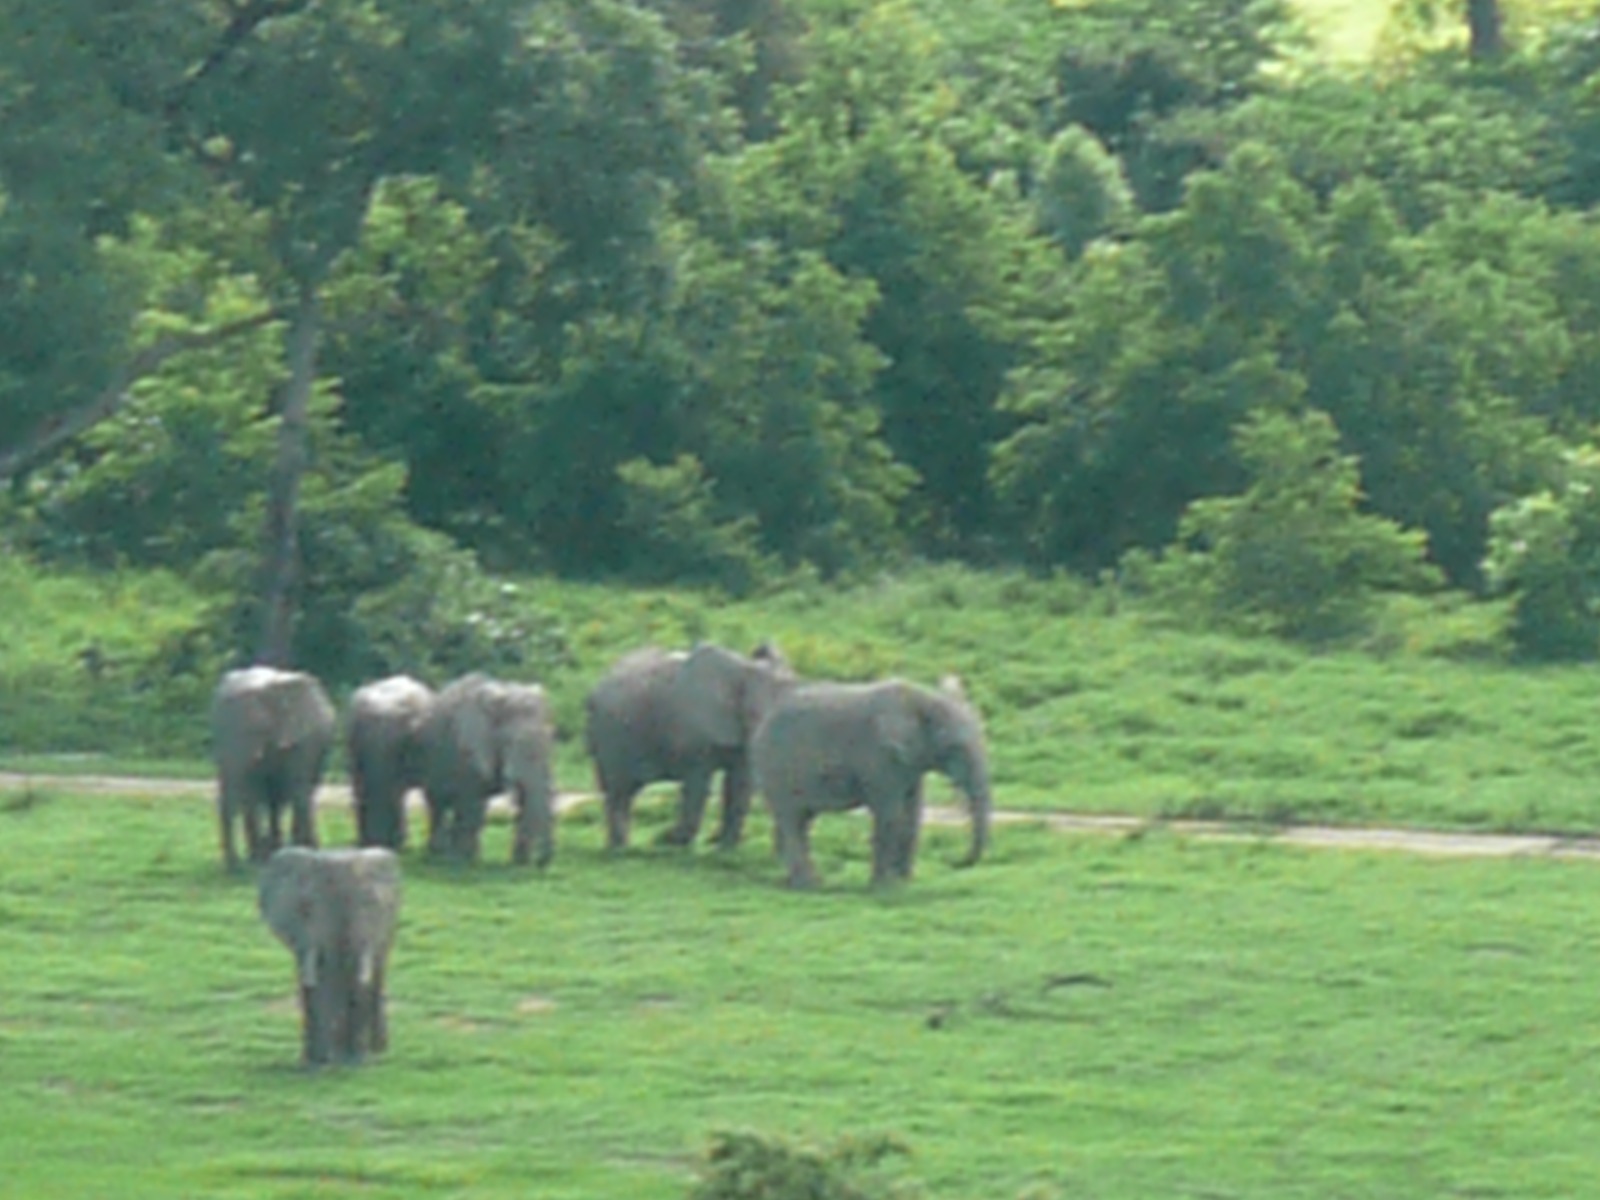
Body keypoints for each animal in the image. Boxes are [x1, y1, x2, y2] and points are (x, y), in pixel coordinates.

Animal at [211, 666, 337, 872]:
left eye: (258, 729)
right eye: (214, 732)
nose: (233, 869)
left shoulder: (304, 737)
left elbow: (298, 787)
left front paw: (306, 851)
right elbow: (254, 790)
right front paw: (258, 858)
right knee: (268, 799)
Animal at [258, 846, 401, 1066]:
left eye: (370, 903)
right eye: (306, 908)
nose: (326, 1059)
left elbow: (359, 977)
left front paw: (355, 1061)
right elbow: (313, 978)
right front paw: (316, 1062)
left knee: (378, 970)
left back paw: (377, 1049)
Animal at [419, 673, 555, 867]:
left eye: (551, 740)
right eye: (508, 743)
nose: (539, 863)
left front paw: (519, 863)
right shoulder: (468, 746)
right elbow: (469, 800)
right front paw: (461, 860)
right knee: (438, 803)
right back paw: (440, 853)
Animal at [584, 640, 794, 852]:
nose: (712, 839)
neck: (745, 672)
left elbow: (739, 782)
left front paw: (724, 850)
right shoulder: (696, 733)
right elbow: (698, 783)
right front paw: (675, 843)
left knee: (628, 790)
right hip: (607, 735)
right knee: (618, 790)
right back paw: (619, 849)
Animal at [751, 675, 991, 889]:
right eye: (954, 748)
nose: (954, 860)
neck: (925, 699)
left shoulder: (910, 760)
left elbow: (912, 814)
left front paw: (904, 882)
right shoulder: (882, 756)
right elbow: (890, 814)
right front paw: (885, 886)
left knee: (801, 821)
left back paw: (797, 882)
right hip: (775, 770)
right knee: (791, 819)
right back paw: (809, 885)